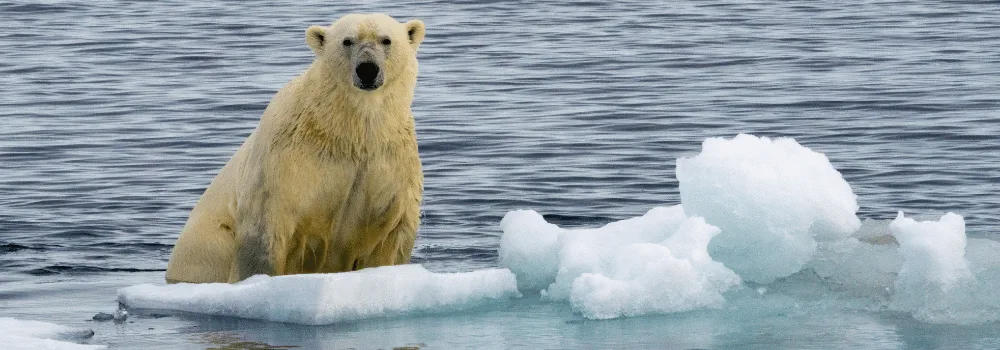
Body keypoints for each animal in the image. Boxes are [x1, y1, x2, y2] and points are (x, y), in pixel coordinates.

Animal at [166, 13, 424, 284]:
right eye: (347, 41)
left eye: (386, 40)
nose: (367, 69)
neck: (348, 131)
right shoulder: (287, 162)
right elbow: (266, 227)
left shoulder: (388, 162)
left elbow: (391, 233)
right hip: (207, 248)